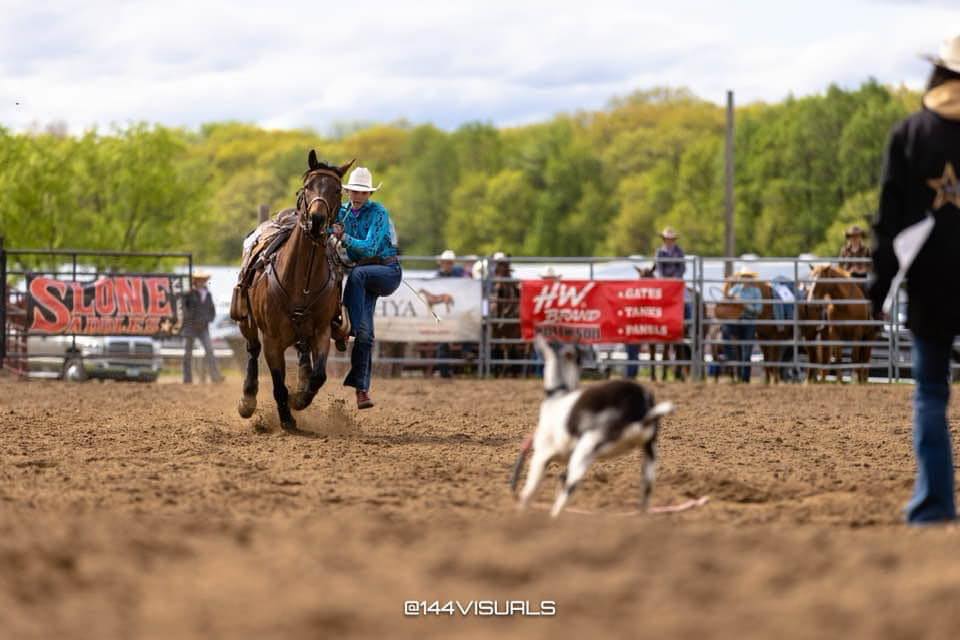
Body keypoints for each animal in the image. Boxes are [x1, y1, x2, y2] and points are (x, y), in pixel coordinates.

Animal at [235, 151, 352, 430]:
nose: (317, 220)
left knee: (302, 354)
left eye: (337, 190)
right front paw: (287, 418)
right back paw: (248, 400)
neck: (301, 281)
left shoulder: (321, 332)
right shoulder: (272, 340)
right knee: (252, 351)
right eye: (308, 186)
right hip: (247, 322)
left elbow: (319, 376)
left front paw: (299, 399)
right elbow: (278, 383)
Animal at [510, 338, 676, 516]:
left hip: (586, 451)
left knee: (567, 490)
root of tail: (643, 412)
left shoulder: (541, 457)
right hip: (649, 458)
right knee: (645, 496)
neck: (557, 397)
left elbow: (528, 492)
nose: (606, 368)